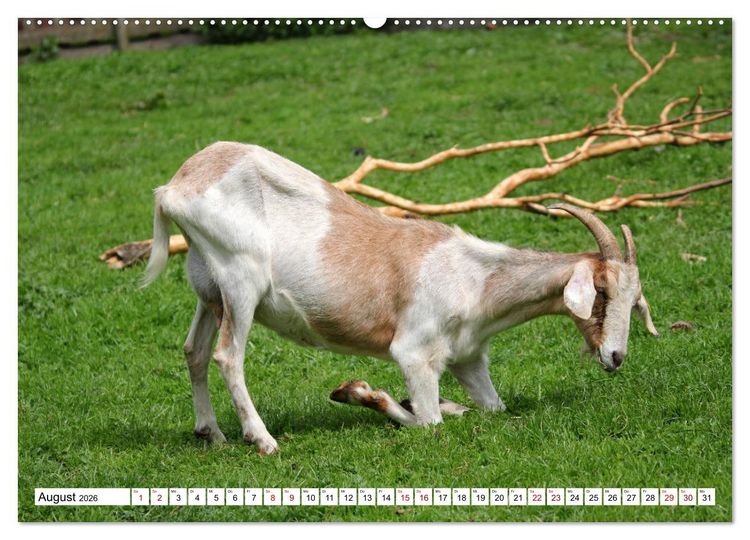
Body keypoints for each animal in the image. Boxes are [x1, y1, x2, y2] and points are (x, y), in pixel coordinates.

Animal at [143, 141, 659, 455]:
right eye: (602, 290)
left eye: (636, 301)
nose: (616, 356)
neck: (475, 278)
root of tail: (175, 188)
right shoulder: (415, 355)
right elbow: (428, 423)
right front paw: (361, 394)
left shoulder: (469, 359)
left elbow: (490, 409)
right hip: (240, 281)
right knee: (228, 356)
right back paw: (263, 439)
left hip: (208, 289)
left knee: (194, 351)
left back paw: (211, 433)